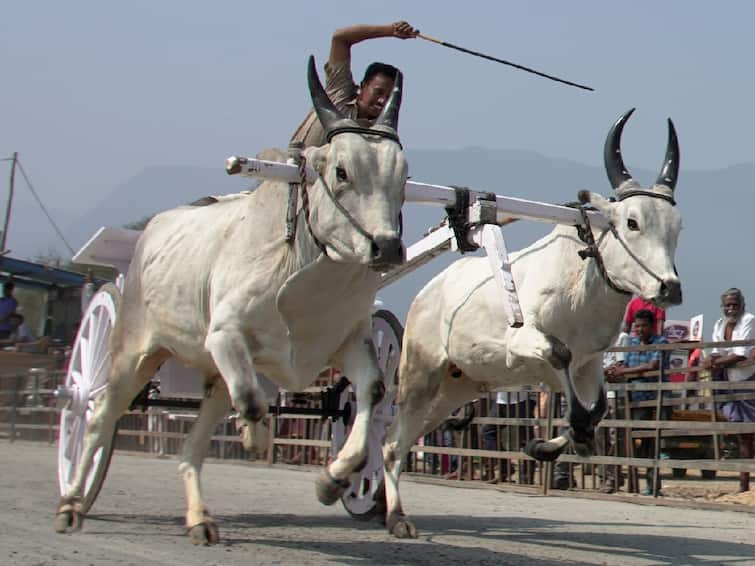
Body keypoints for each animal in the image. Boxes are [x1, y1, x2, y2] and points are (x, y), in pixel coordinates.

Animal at [54, 57, 410, 544]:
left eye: (404, 176)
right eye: (341, 172)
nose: (388, 248)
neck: (301, 262)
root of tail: (152, 229)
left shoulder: (349, 343)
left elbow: (370, 396)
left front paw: (331, 479)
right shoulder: (224, 335)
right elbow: (254, 402)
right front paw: (255, 439)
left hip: (210, 376)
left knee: (191, 449)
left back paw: (199, 519)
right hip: (132, 351)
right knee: (97, 417)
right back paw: (71, 502)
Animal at [384, 108, 684, 540]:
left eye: (677, 227)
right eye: (632, 222)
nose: (670, 288)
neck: (581, 283)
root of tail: (426, 293)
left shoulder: (590, 363)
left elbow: (599, 408)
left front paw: (547, 446)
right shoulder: (523, 343)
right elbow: (561, 362)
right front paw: (573, 433)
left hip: (455, 388)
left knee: (402, 438)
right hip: (418, 374)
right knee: (392, 444)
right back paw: (391, 513)